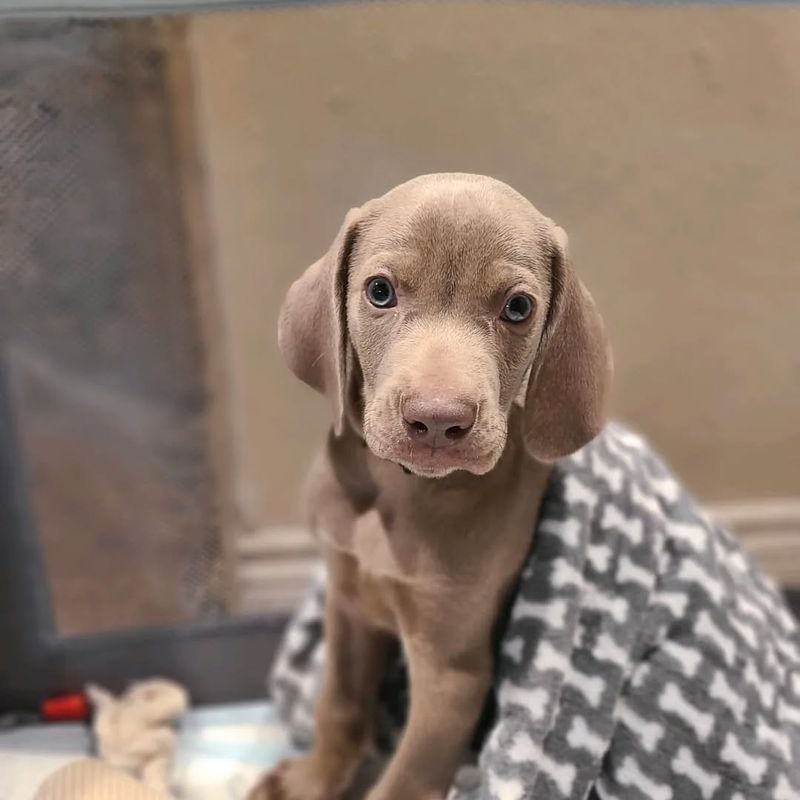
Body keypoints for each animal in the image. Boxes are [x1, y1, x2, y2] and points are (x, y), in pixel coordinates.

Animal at [250, 175, 612, 800]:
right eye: (379, 292)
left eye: (518, 307)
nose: (438, 421)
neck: (401, 492)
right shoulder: (349, 603)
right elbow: (338, 705)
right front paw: (310, 783)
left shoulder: (452, 672)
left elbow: (406, 780)